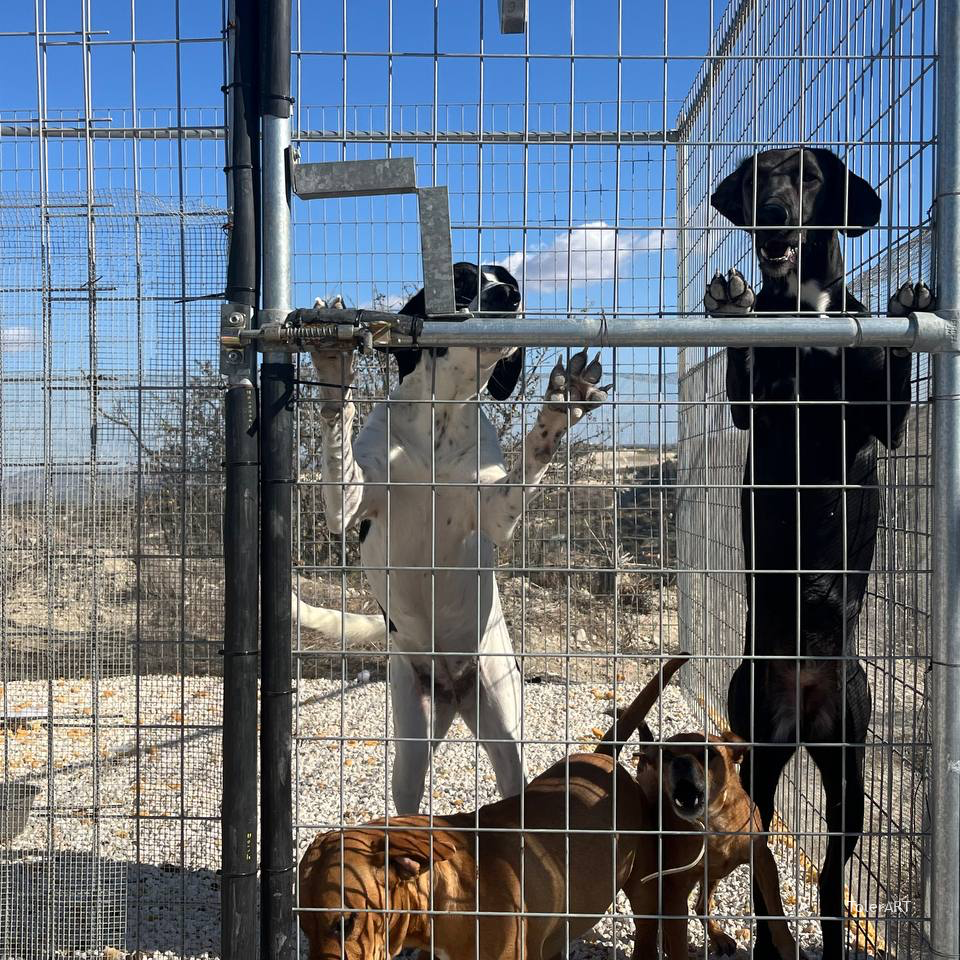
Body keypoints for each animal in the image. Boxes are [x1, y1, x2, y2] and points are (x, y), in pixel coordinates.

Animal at [294, 264, 608, 816]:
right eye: (462, 282)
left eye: (507, 279)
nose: (511, 296)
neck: (440, 415)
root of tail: (453, 690)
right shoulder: (347, 504)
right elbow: (338, 436)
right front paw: (333, 367)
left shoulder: (496, 514)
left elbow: (534, 455)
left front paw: (560, 409)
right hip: (410, 744)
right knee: (408, 796)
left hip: (505, 729)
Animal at [704, 144, 928, 960]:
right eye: (757, 176)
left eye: (808, 176)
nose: (772, 211)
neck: (805, 313)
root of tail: (802, 706)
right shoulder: (757, 406)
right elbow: (745, 370)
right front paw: (733, 303)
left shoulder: (881, 421)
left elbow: (890, 391)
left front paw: (908, 300)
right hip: (757, 743)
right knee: (763, 854)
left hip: (852, 765)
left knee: (833, 875)